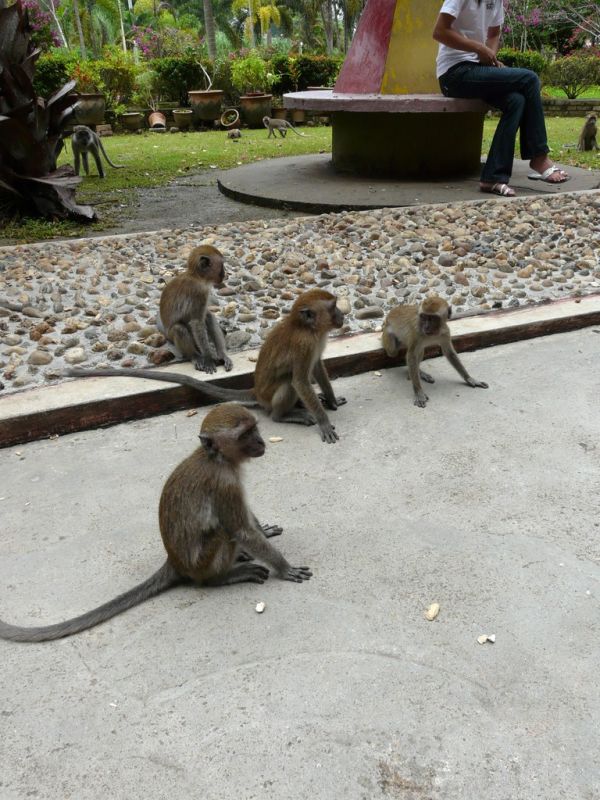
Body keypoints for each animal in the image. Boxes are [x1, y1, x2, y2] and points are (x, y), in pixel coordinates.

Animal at [0, 404, 311, 643]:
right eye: (245, 434)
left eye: (255, 429)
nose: (261, 442)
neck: (217, 459)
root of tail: (175, 562)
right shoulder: (224, 484)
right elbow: (240, 529)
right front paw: (284, 567)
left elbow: (247, 522)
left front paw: (264, 530)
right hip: (202, 564)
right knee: (221, 536)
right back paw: (222, 577)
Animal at [68, 289, 346, 443]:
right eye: (333, 307)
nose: (342, 316)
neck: (307, 329)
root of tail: (256, 392)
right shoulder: (304, 344)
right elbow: (300, 380)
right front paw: (323, 422)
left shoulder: (316, 341)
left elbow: (317, 368)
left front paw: (331, 400)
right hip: (269, 399)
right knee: (288, 385)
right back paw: (286, 414)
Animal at [157, 244, 233, 374]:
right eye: (221, 266)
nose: (224, 274)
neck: (197, 278)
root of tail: (166, 334)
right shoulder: (198, 293)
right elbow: (197, 323)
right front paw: (208, 358)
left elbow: (204, 318)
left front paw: (221, 355)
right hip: (172, 336)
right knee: (179, 328)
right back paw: (195, 356)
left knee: (208, 317)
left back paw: (221, 355)